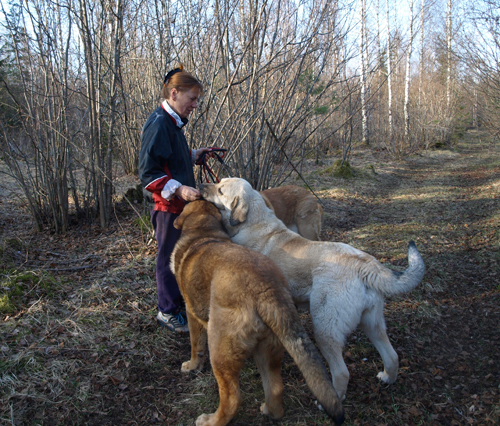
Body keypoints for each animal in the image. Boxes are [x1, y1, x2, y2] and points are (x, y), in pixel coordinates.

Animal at [201, 177, 424, 400]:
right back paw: (387, 378)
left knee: (342, 372)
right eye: (219, 182)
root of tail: (364, 264)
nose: (201, 186)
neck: (255, 222)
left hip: (325, 328)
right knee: (392, 356)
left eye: (220, 190)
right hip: (372, 323)